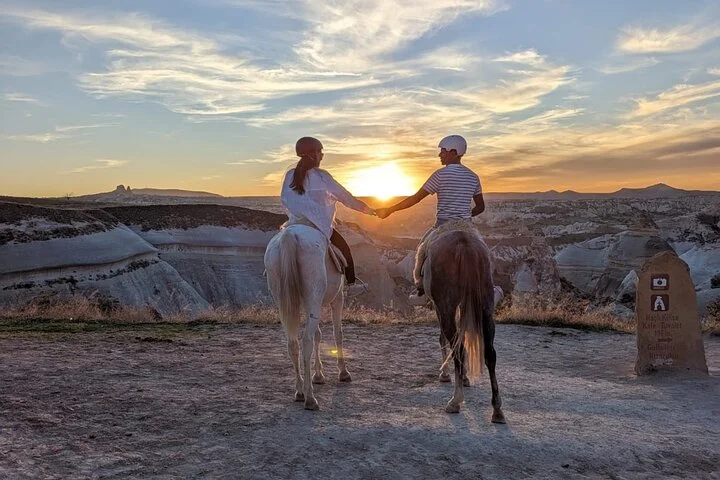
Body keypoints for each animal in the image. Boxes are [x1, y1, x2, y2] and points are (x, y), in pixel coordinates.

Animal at [264, 222, 351, 411]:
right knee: (306, 342)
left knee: (293, 344)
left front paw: (318, 375)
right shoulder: (338, 298)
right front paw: (343, 372)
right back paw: (310, 398)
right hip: (314, 298)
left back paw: (299, 391)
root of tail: (289, 235)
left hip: (285, 303)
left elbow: (319, 335)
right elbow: (337, 334)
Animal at [422, 221, 505, 422]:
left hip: (446, 304)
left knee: (457, 348)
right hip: (485, 304)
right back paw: (497, 409)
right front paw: (465, 377)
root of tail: (464, 244)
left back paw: (455, 401)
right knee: (490, 353)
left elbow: (443, 338)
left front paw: (445, 374)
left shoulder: (440, 306)